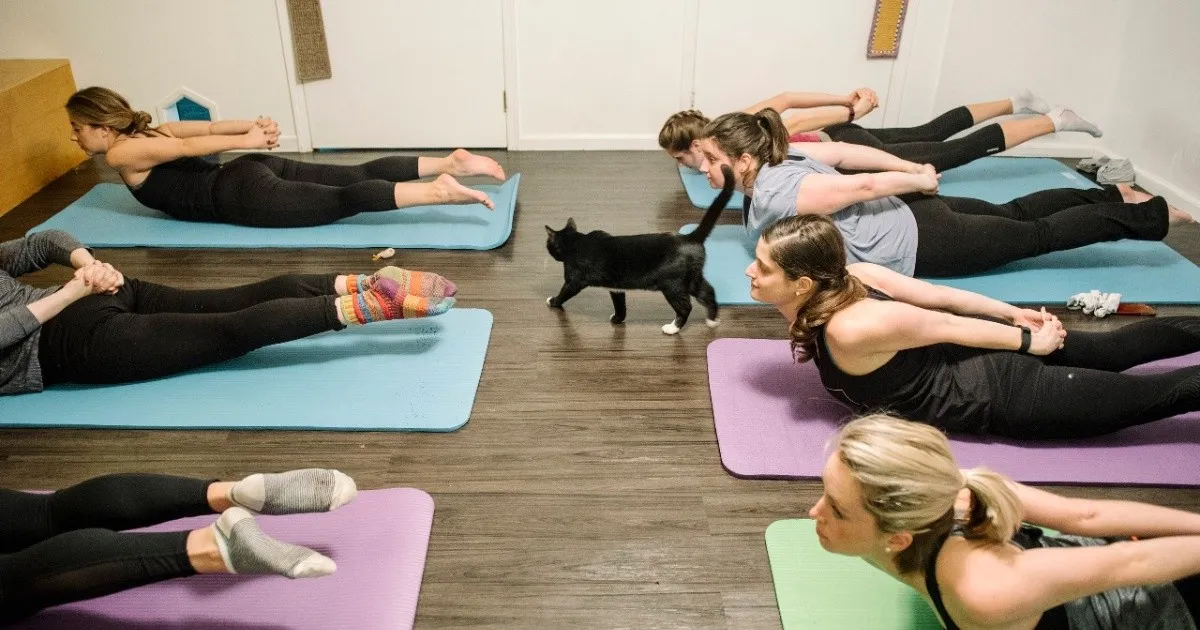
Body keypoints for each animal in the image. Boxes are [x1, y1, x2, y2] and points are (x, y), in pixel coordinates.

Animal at [549, 163, 734, 333]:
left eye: (549, 245)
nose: (551, 251)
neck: (578, 241)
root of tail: (690, 237)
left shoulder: (574, 279)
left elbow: (565, 292)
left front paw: (553, 301)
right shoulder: (616, 288)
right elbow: (620, 305)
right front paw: (618, 319)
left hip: (672, 284)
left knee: (685, 306)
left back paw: (673, 328)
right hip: (693, 278)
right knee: (709, 292)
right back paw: (712, 321)